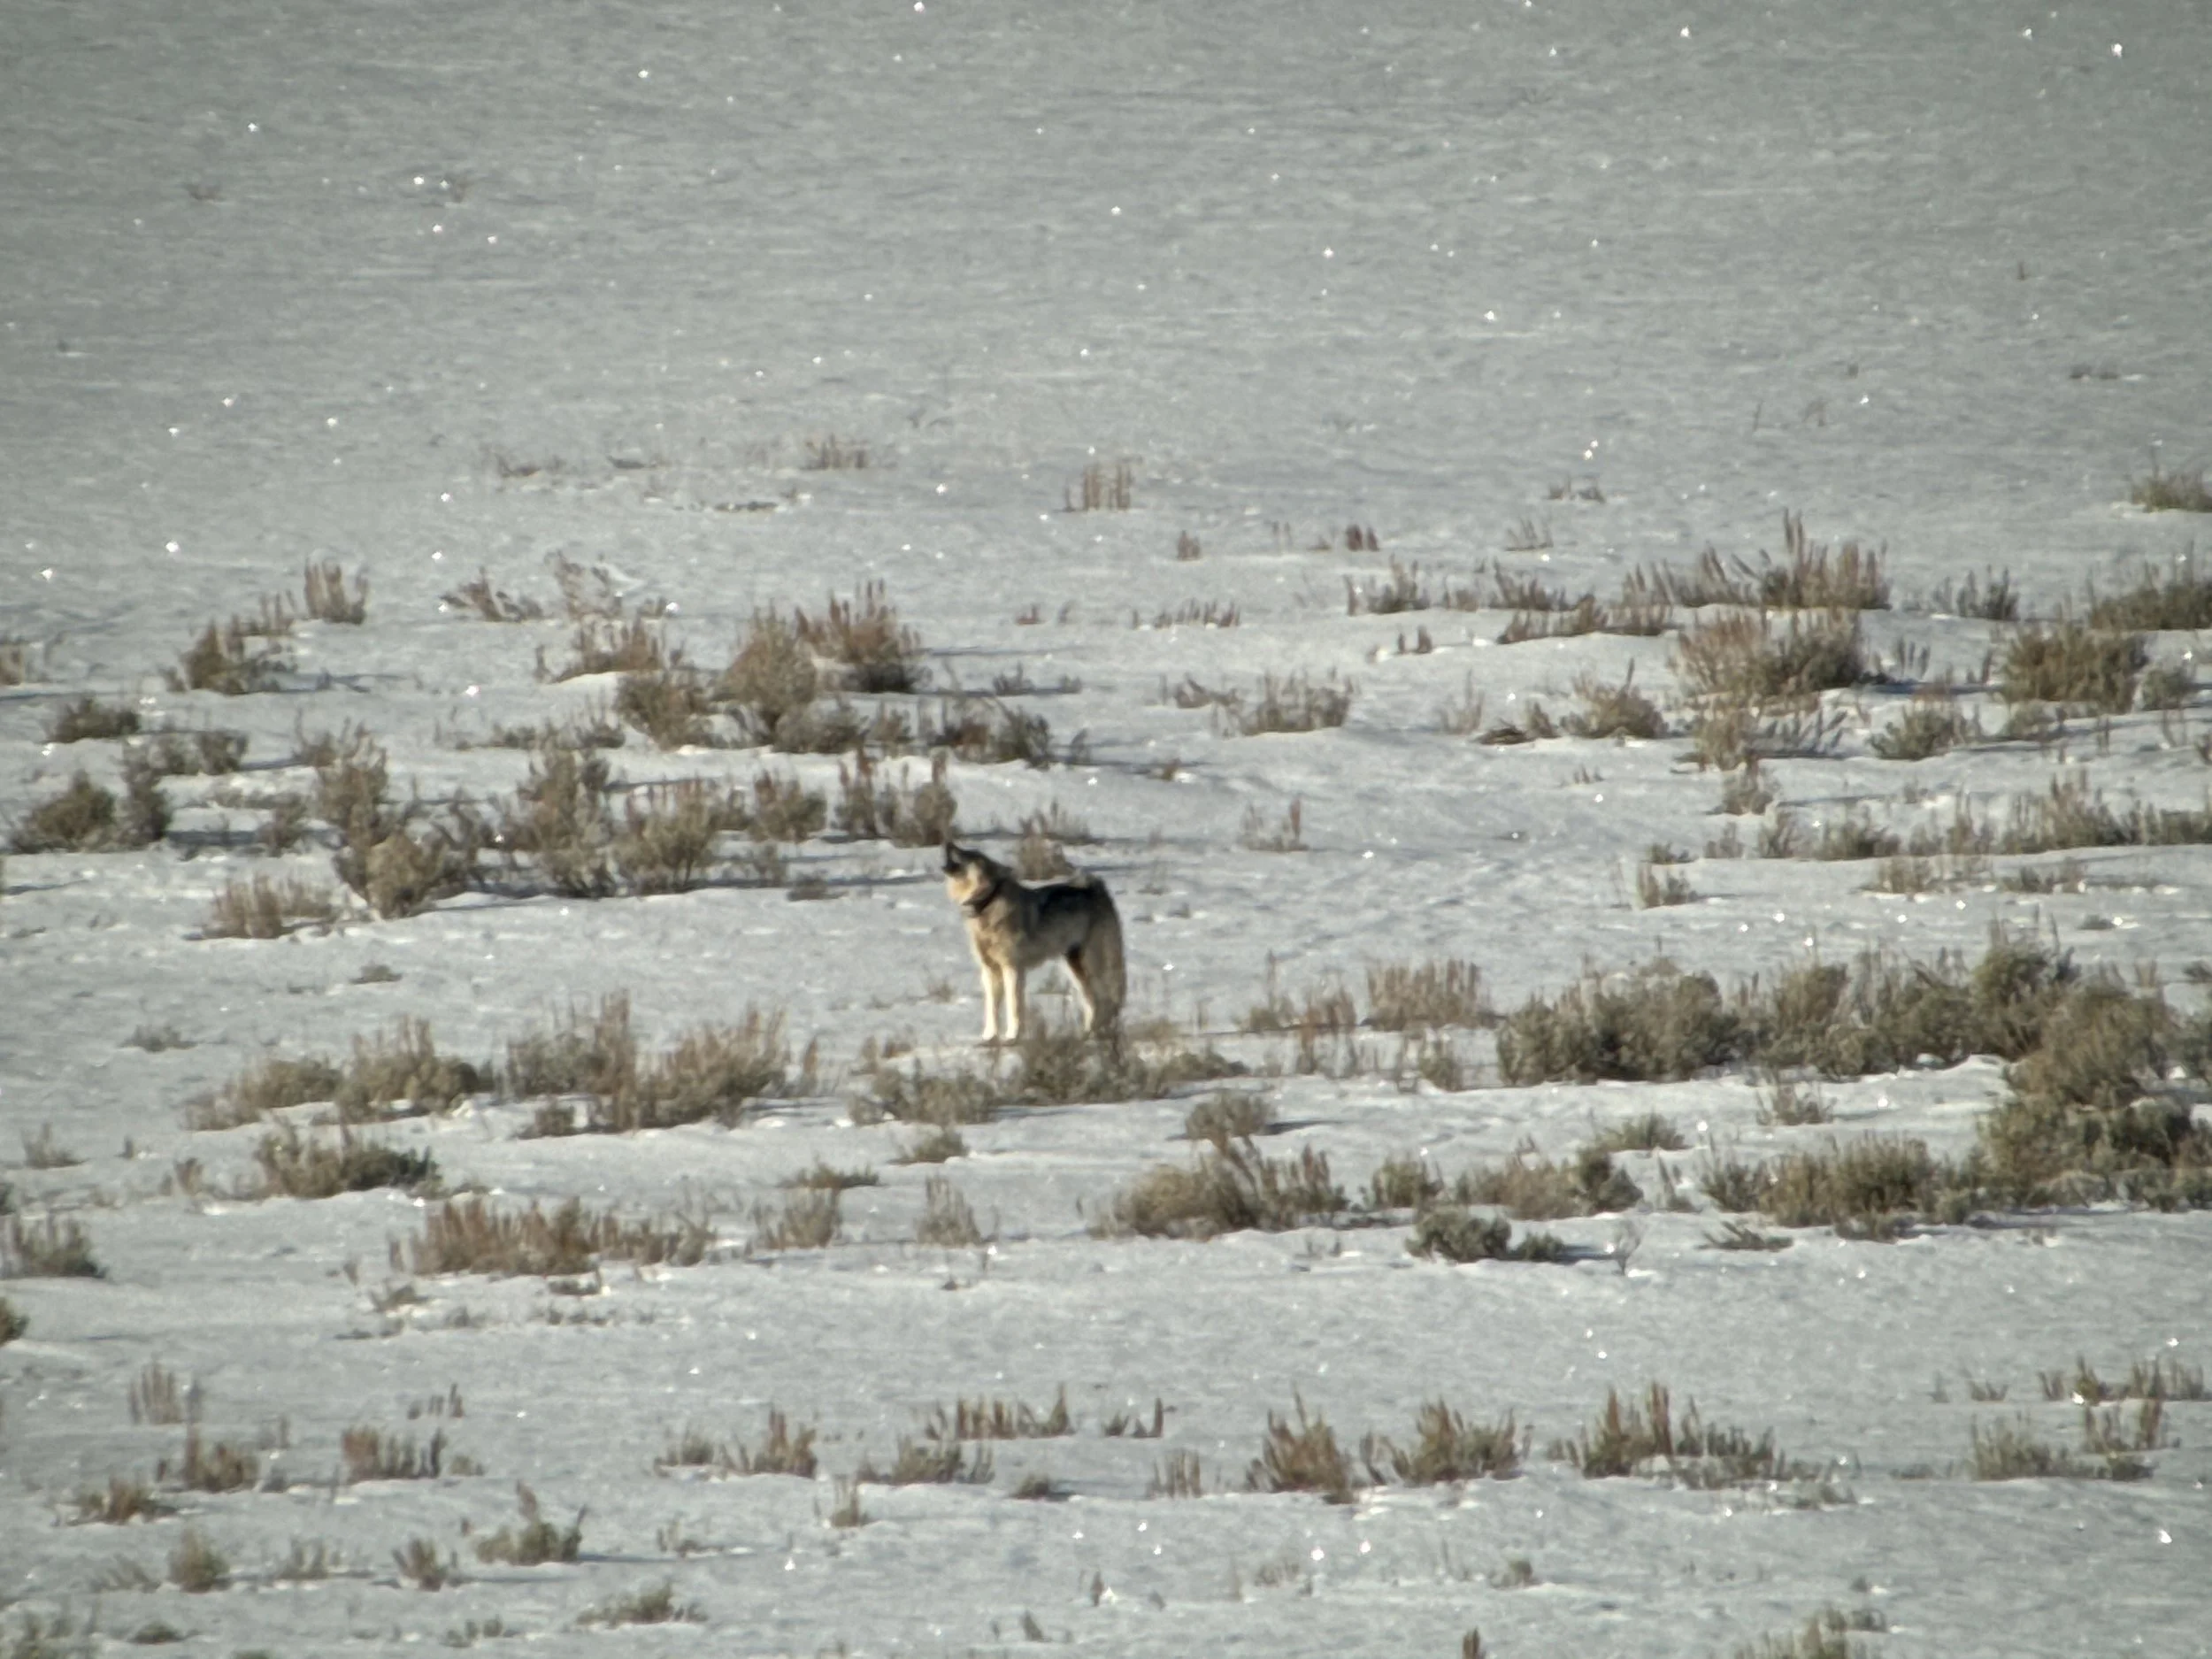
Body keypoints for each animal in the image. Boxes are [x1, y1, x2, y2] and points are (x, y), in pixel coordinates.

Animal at [941, 840, 1125, 1043]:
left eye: (970, 853)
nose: (948, 842)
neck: (988, 904)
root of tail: (1095, 887)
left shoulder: (1012, 968)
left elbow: (1014, 1006)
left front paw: (1012, 1037)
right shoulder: (989, 970)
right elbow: (991, 1009)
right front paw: (990, 1037)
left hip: (1092, 965)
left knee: (1105, 998)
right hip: (1074, 969)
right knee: (1094, 1001)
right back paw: (1086, 1035)